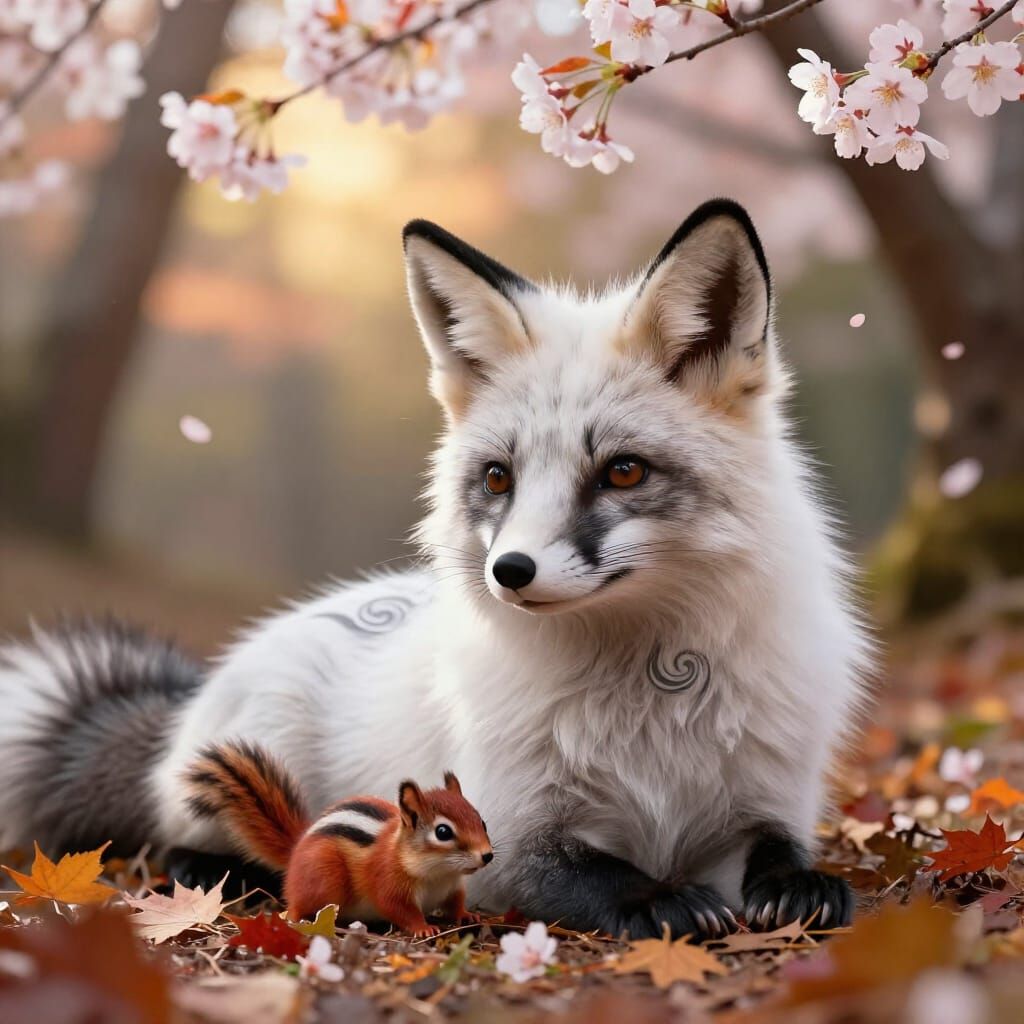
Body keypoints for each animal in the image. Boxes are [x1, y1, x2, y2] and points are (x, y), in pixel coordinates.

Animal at [183, 741, 493, 935]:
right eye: (443, 832)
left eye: (482, 821)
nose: (487, 855)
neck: (437, 873)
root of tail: (297, 848)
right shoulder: (388, 883)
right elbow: (399, 909)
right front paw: (423, 927)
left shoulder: (452, 886)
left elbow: (455, 903)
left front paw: (468, 915)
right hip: (325, 877)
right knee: (296, 904)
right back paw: (294, 918)